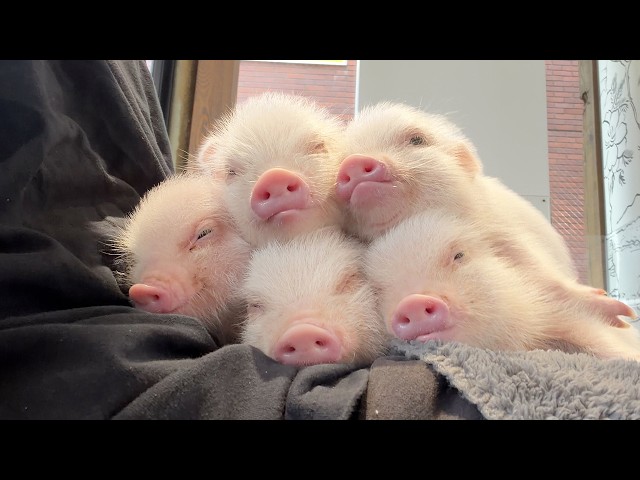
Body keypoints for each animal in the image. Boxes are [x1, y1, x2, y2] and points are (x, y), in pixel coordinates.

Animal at [337, 101, 636, 327]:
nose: (354, 161)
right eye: (344, 155)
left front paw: (619, 313)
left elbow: (543, 276)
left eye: (417, 139)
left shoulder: (504, 234)